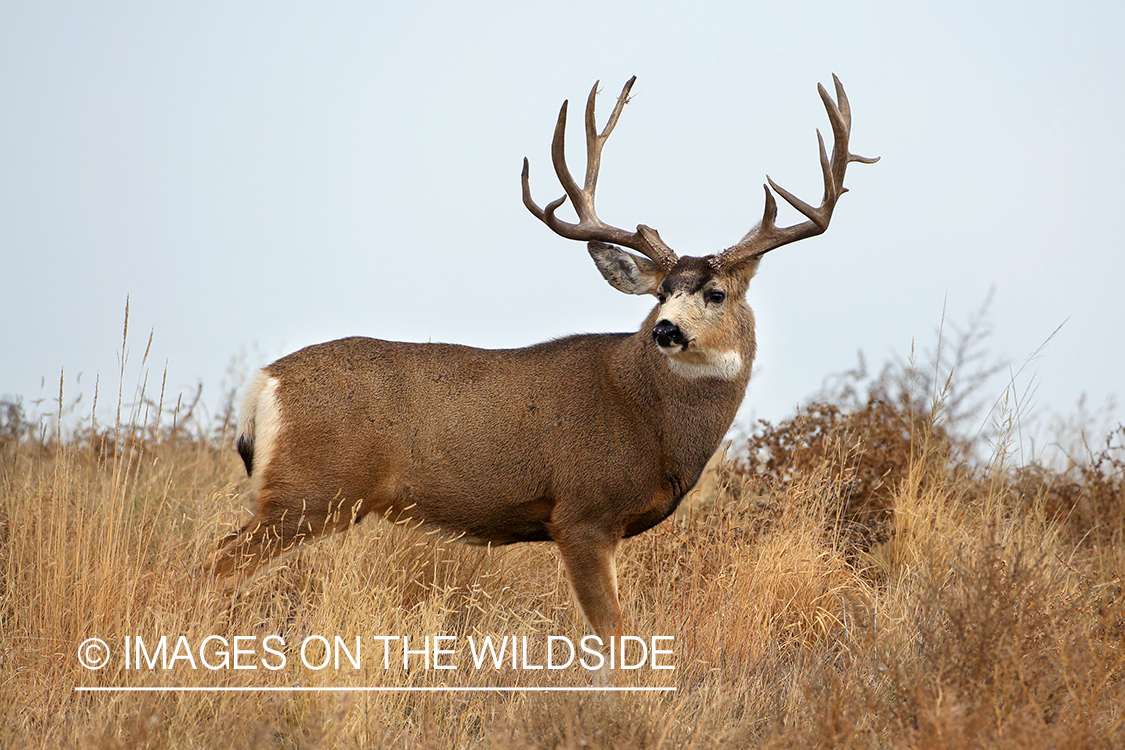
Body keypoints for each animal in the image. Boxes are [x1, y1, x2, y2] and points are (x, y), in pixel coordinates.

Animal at [208, 75, 877, 647]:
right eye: (662, 292)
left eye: (715, 293)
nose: (664, 329)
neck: (651, 418)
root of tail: (263, 383)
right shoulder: (582, 512)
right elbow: (614, 635)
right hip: (307, 492)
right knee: (215, 563)